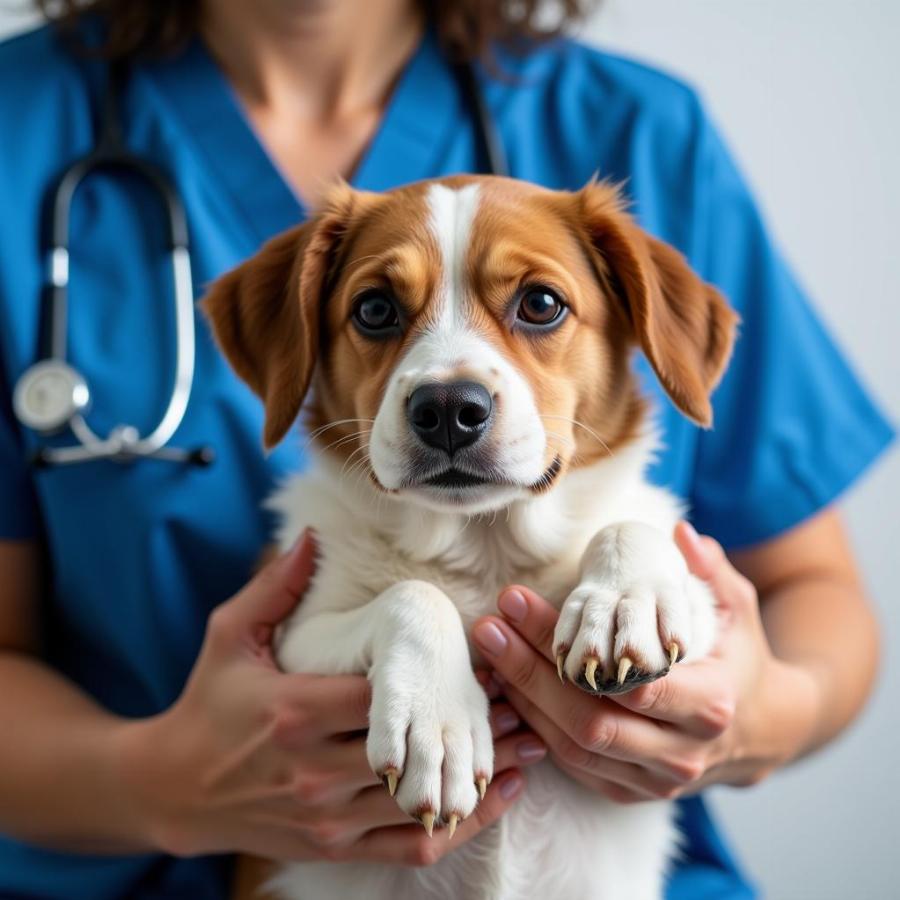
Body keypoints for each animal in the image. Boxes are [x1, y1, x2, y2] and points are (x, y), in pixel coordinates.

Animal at [202, 174, 740, 900]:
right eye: (375, 309)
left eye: (541, 304)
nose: (449, 409)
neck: (485, 547)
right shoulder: (290, 644)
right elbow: (412, 595)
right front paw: (438, 725)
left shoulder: (714, 615)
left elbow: (634, 529)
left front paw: (623, 604)